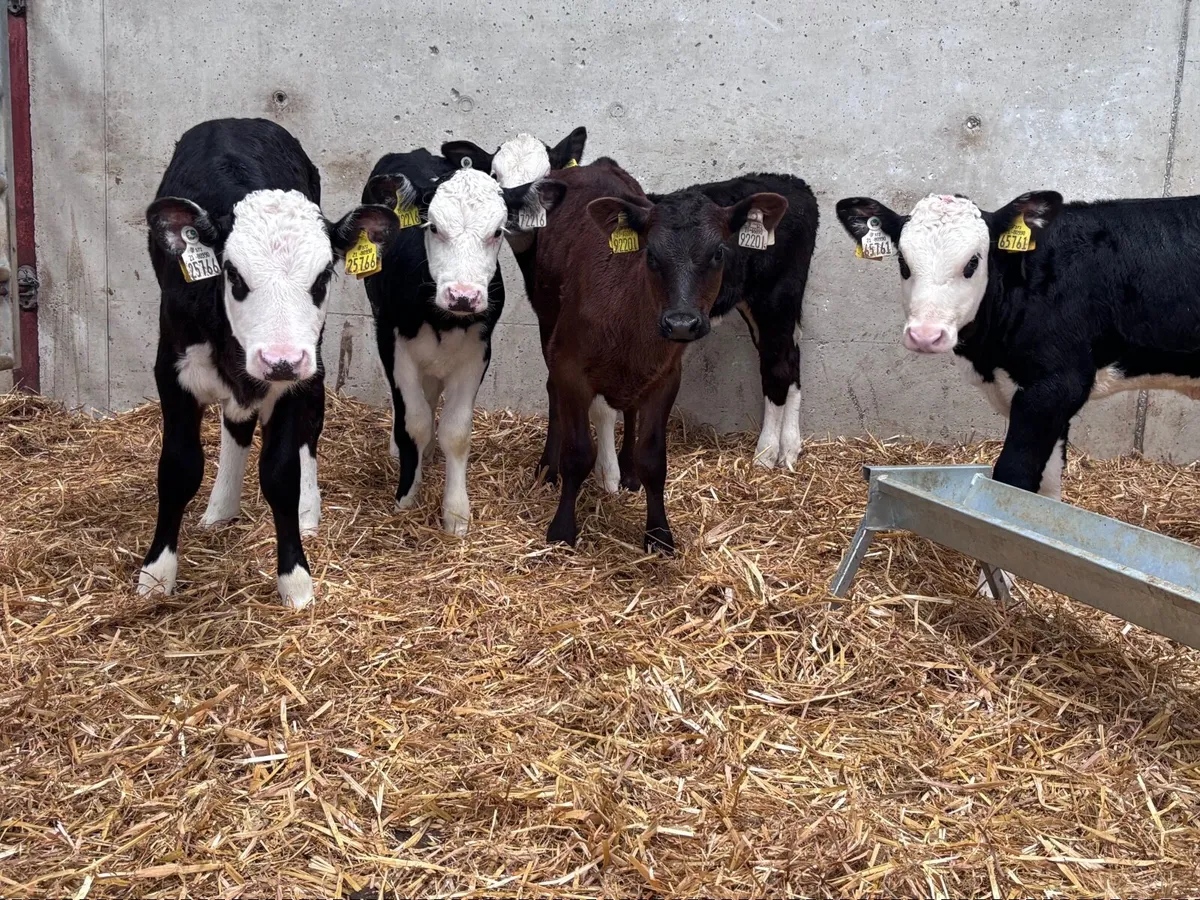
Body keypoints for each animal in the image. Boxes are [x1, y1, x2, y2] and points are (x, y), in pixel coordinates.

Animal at [139, 118, 398, 608]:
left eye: (324, 275)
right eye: (233, 273)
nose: (280, 359)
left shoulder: (296, 379)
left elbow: (282, 474)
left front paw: (295, 580)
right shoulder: (172, 372)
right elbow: (178, 469)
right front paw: (156, 574)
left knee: (309, 429)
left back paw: (307, 511)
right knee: (236, 426)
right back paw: (221, 509)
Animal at [359, 149, 565, 535]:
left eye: (497, 231)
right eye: (433, 227)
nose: (463, 296)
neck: (442, 318)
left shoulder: (477, 353)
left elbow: (455, 432)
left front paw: (456, 513)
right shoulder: (393, 345)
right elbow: (415, 422)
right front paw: (407, 494)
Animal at [442, 131, 818, 485]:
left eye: (547, 176)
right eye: (495, 174)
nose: (519, 213)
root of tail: (796, 185)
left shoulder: (553, 318)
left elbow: (572, 391)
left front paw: (582, 470)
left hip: (775, 300)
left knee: (777, 368)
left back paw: (766, 454)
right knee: (791, 362)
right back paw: (789, 449)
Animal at [531, 158, 787, 551]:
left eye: (718, 252)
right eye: (650, 253)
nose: (681, 323)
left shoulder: (666, 377)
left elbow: (653, 458)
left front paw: (659, 533)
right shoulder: (569, 368)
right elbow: (577, 453)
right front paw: (561, 530)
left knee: (629, 411)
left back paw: (627, 472)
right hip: (547, 320)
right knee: (552, 393)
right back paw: (548, 467)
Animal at [836, 189, 1200, 593]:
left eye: (972, 263)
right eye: (903, 261)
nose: (925, 335)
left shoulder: (1055, 385)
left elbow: (1011, 479)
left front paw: (995, 579)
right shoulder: (1046, 396)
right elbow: (1049, 476)